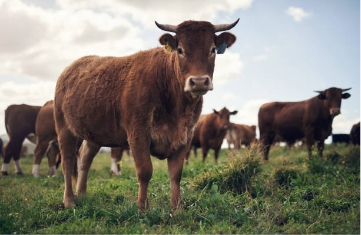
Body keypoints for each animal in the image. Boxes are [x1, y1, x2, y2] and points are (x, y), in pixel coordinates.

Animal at [53, 18, 238, 209]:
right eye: (180, 50)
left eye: (213, 49)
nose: (199, 81)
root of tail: (70, 68)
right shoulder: (138, 132)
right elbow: (145, 171)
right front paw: (142, 207)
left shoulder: (185, 135)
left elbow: (176, 174)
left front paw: (177, 208)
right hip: (64, 128)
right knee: (68, 162)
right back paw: (69, 200)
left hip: (94, 133)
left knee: (84, 158)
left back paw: (82, 193)